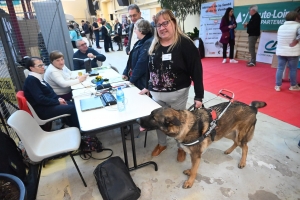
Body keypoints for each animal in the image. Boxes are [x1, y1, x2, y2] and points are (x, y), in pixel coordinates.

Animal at [137, 101, 266, 188]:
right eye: (150, 114)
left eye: (153, 118)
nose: (137, 120)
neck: (185, 126)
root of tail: (252, 107)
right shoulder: (193, 155)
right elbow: (193, 166)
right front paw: (189, 171)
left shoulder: (196, 155)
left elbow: (195, 169)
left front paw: (190, 181)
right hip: (226, 132)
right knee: (236, 143)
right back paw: (229, 151)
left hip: (238, 135)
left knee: (245, 146)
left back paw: (242, 162)